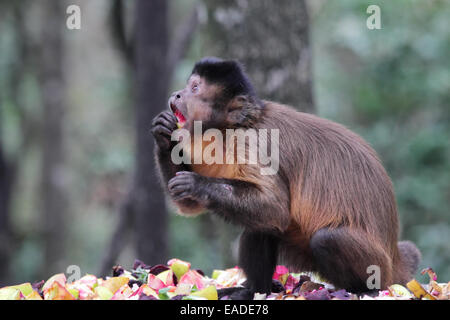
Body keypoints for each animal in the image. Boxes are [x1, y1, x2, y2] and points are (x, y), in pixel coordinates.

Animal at [152, 56, 422, 298]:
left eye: (195, 89)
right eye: (188, 86)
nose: (177, 94)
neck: (231, 128)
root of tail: (393, 258)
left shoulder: (250, 143)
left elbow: (276, 208)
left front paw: (198, 184)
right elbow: (189, 204)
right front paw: (163, 135)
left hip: (377, 265)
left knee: (325, 239)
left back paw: (363, 290)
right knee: (262, 228)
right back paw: (255, 289)